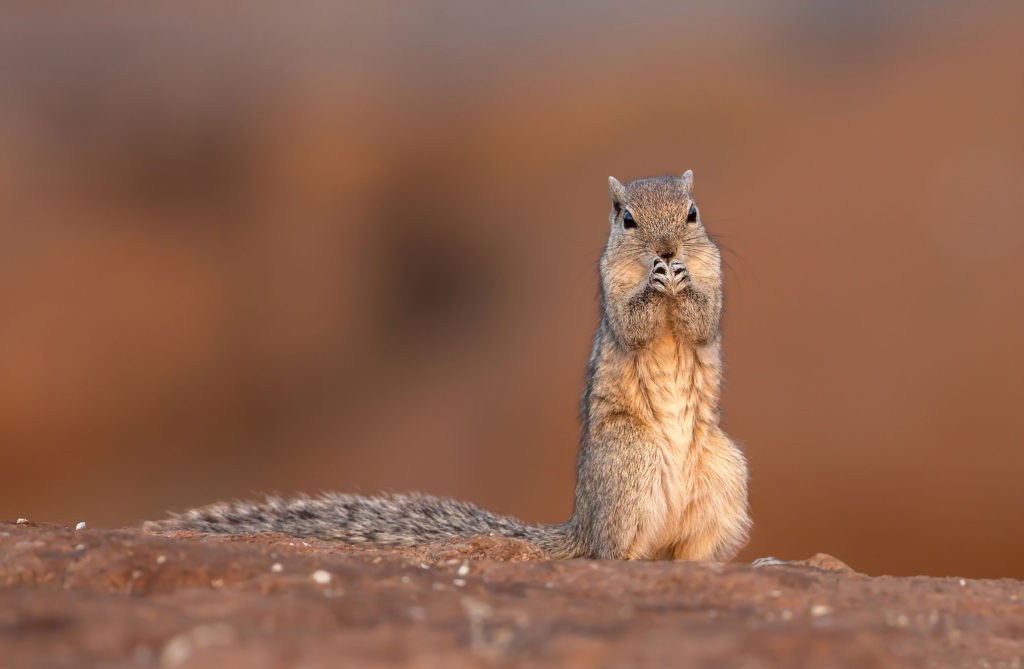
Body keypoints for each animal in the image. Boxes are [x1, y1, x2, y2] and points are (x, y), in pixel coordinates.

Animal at [144, 171, 749, 557]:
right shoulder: (613, 296)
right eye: (626, 221)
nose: (666, 251)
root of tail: (582, 522)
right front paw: (653, 286)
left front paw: (682, 281)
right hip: (632, 461)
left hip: (724, 473)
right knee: (611, 553)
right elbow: (633, 323)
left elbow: (703, 317)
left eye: (692, 213)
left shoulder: (714, 284)